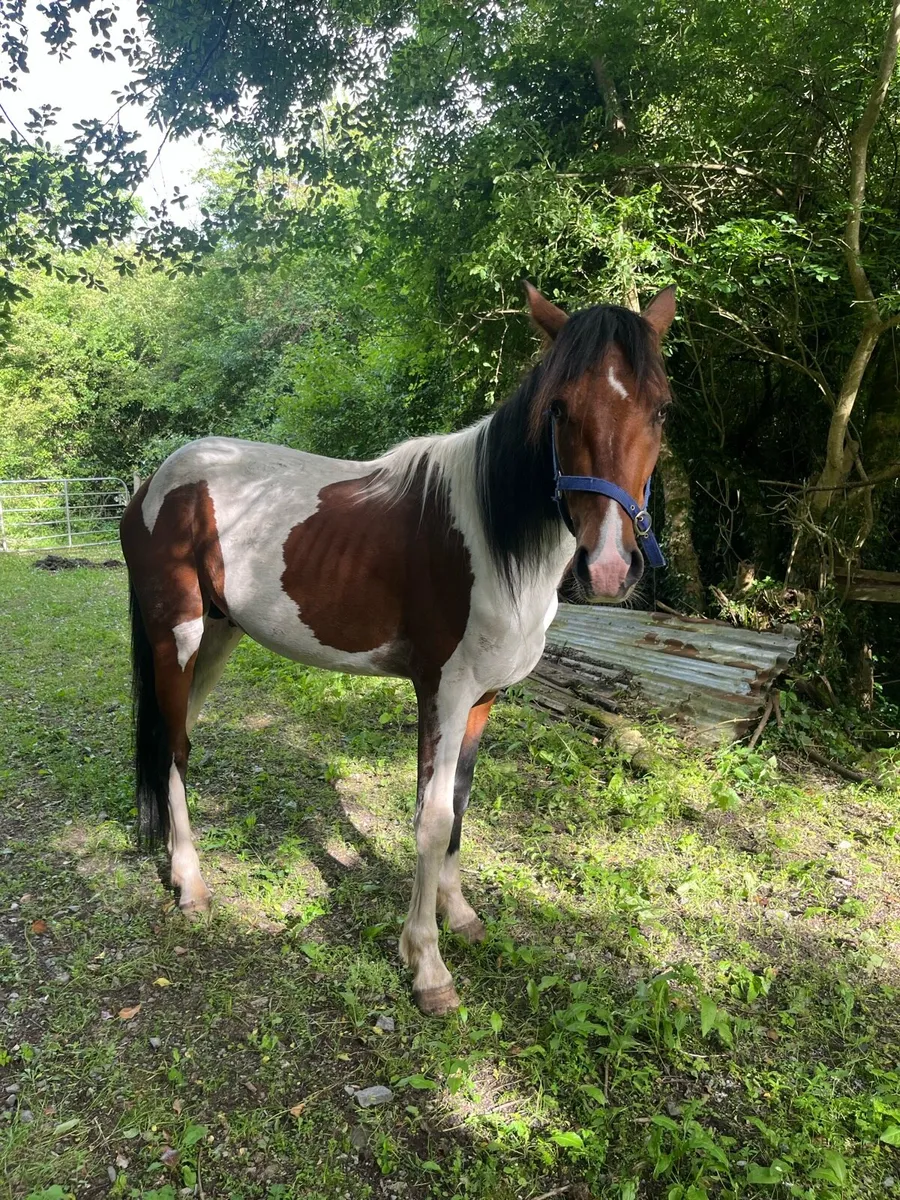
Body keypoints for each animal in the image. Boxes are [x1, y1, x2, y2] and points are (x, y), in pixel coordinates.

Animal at [119, 283, 675, 1015]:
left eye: (660, 409)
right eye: (559, 408)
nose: (609, 567)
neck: (492, 539)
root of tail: (154, 483)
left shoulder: (482, 698)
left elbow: (459, 805)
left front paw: (459, 916)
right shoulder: (442, 690)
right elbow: (431, 819)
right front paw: (428, 967)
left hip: (216, 638)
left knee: (179, 736)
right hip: (175, 638)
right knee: (174, 748)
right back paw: (190, 884)